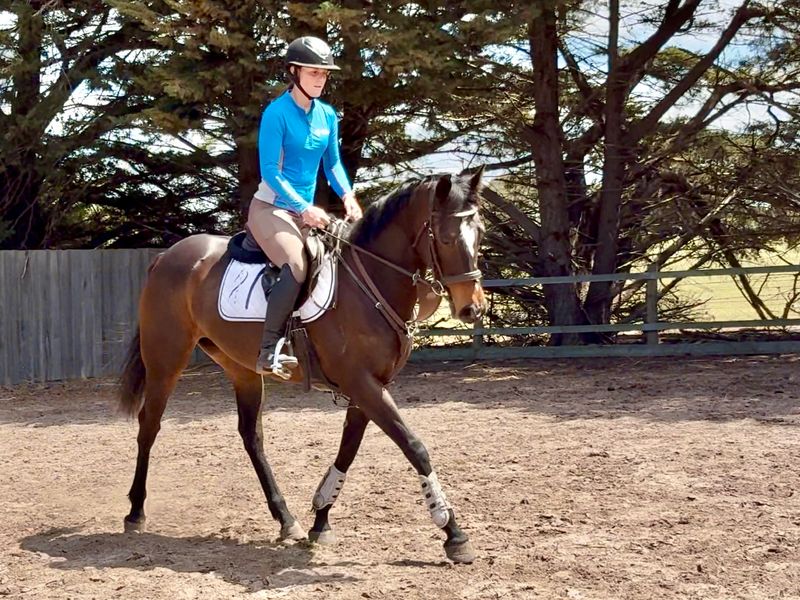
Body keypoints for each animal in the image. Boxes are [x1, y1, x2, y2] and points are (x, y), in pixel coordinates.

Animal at [118, 167, 488, 564]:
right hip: (165, 361)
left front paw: (320, 519)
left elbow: (347, 450)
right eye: (446, 238)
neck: (369, 283)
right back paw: (135, 511)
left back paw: (286, 519)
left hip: (242, 369)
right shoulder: (362, 384)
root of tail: (167, 256)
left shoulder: (370, 386)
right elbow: (414, 446)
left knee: (252, 437)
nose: (473, 308)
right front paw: (453, 532)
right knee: (149, 425)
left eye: (480, 233)